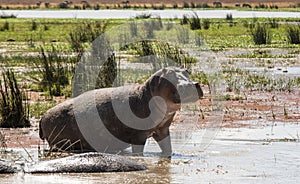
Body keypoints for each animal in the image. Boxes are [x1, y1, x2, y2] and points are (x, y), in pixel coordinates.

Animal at [39, 67, 204, 157]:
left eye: (186, 72)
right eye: (169, 74)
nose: (194, 84)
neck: (146, 93)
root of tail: (43, 116)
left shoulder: (162, 129)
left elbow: (167, 148)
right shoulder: (138, 136)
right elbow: (138, 152)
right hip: (60, 142)